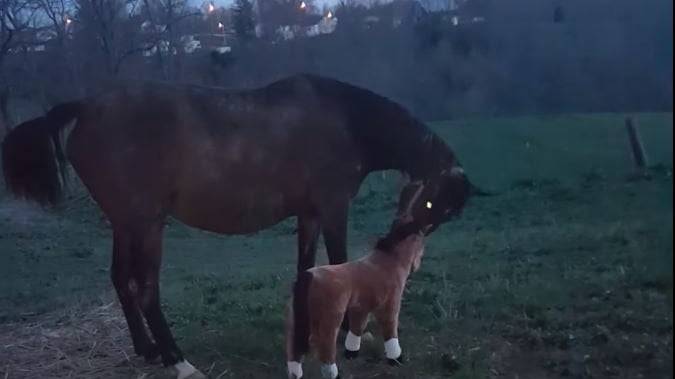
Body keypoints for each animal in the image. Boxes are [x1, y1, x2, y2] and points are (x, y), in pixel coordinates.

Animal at [1, 73, 470, 378]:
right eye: (433, 202)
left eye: (443, 210)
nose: (397, 245)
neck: (346, 121)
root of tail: (84, 107)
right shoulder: (333, 208)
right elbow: (340, 264)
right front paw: (348, 337)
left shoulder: (310, 214)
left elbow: (306, 271)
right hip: (148, 225)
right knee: (146, 289)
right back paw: (178, 360)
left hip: (126, 224)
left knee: (120, 280)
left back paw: (148, 350)